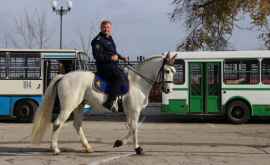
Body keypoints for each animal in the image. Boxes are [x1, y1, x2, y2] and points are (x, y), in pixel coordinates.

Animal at [31, 52, 176, 155]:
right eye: (167, 71)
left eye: (174, 71)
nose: (168, 90)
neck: (137, 82)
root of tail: (64, 76)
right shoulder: (135, 111)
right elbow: (134, 128)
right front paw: (137, 148)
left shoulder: (130, 112)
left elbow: (131, 128)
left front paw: (119, 142)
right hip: (68, 107)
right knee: (57, 123)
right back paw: (55, 149)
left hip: (79, 106)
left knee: (77, 125)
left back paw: (88, 147)